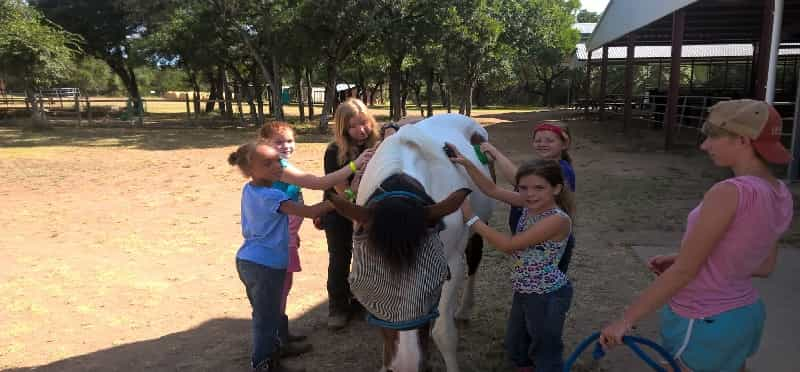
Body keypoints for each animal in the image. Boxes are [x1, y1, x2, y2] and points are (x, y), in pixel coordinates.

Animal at [326, 114, 490, 372]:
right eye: (359, 286)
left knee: (474, 258)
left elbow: (444, 334)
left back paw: (464, 310)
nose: (407, 365)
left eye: (440, 279)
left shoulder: (452, 263)